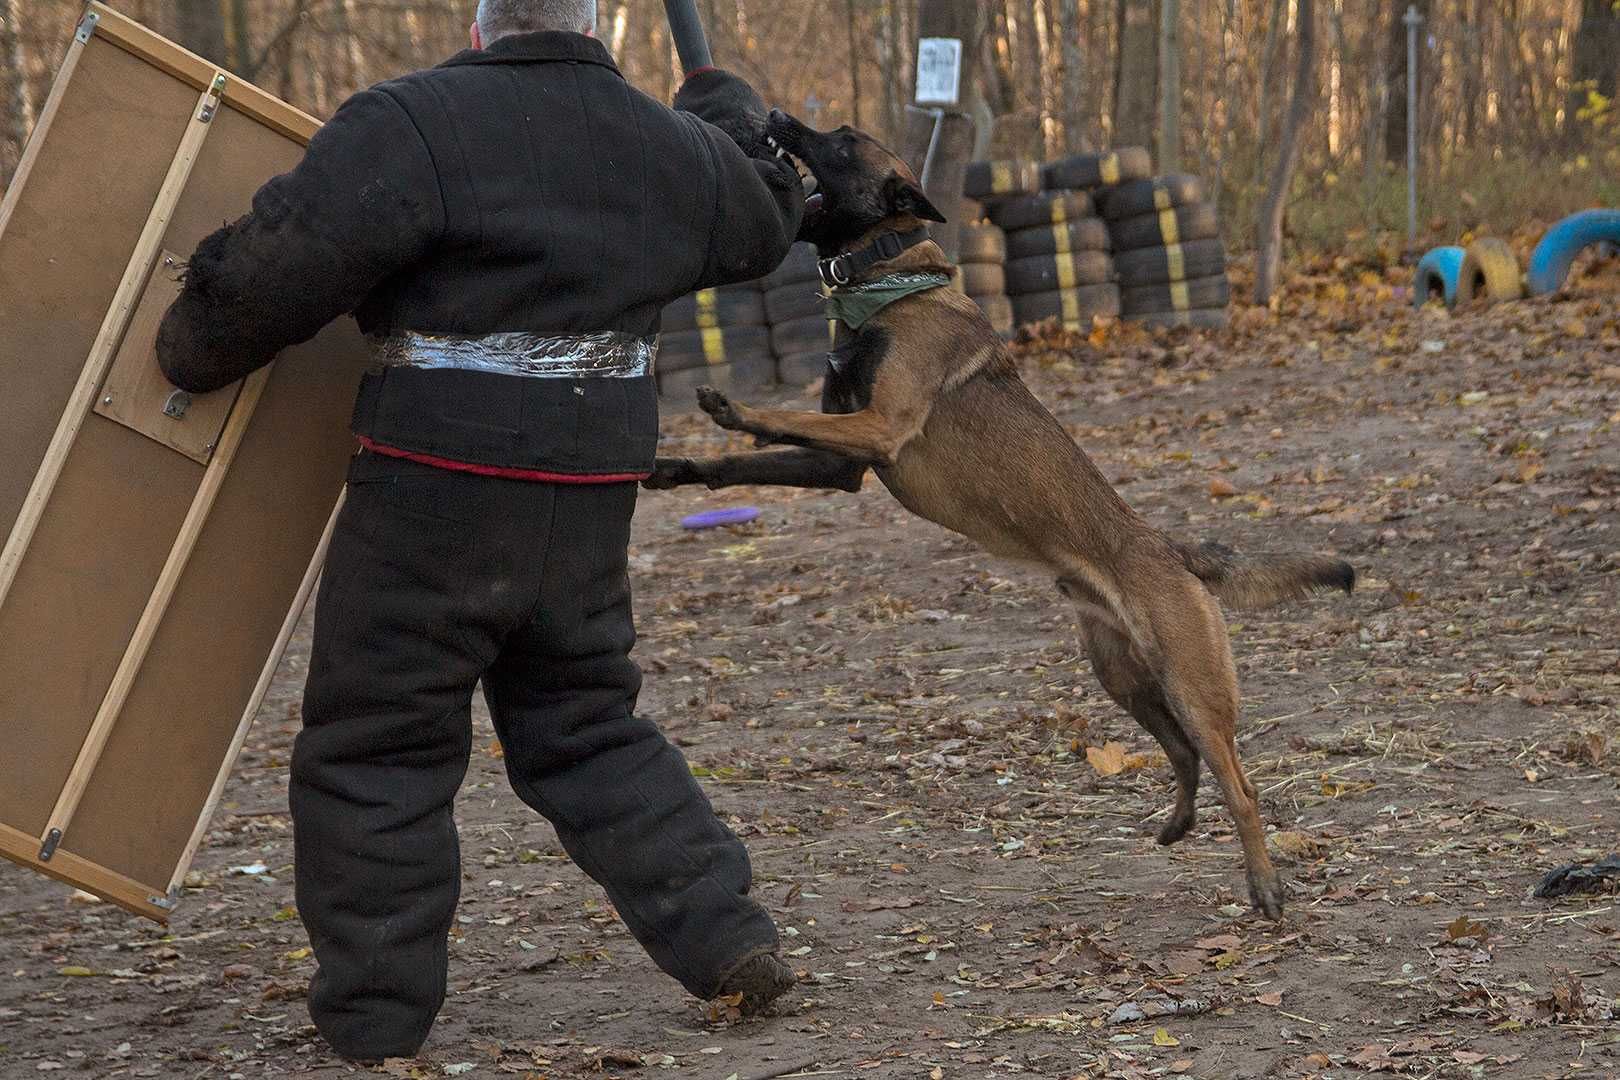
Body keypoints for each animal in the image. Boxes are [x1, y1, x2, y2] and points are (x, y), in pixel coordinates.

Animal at [644, 111, 1354, 919]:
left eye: (844, 139)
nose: (776, 117)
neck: (891, 287)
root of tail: (1169, 548)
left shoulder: (881, 428)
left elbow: (782, 417)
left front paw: (734, 407)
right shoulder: (841, 465)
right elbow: (747, 459)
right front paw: (677, 465)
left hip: (1191, 684)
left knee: (1239, 781)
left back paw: (1264, 882)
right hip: (1121, 676)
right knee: (1180, 753)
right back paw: (1177, 823)